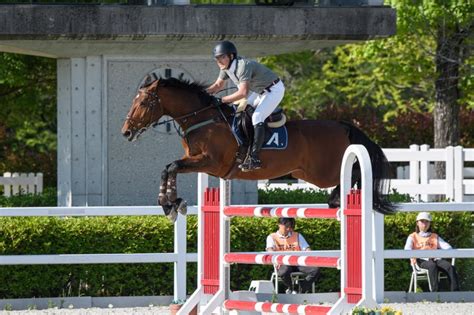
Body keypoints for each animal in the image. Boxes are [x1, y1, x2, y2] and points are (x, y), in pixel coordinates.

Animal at [122, 78, 396, 222]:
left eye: (144, 103)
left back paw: (338, 199)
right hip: (307, 173)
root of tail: (343, 125)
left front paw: (171, 203)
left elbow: (172, 166)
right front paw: (170, 204)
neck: (203, 118)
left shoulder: (211, 162)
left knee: (353, 172)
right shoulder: (194, 159)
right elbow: (169, 167)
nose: (126, 132)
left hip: (322, 172)